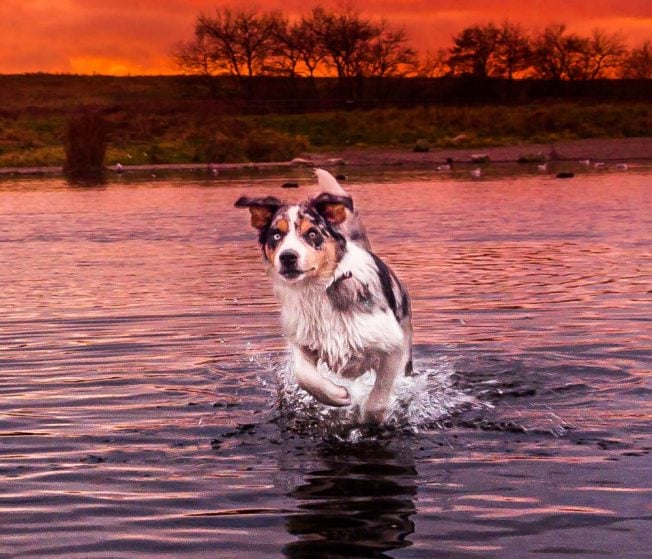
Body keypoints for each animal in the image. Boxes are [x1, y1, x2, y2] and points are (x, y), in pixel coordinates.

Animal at [234, 168, 412, 422]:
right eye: (276, 235)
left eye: (312, 233)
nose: (288, 256)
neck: (319, 290)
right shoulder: (303, 340)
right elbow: (304, 375)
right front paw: (337, 395)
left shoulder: (393, 345)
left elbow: (379, 396)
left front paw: (369, 418)